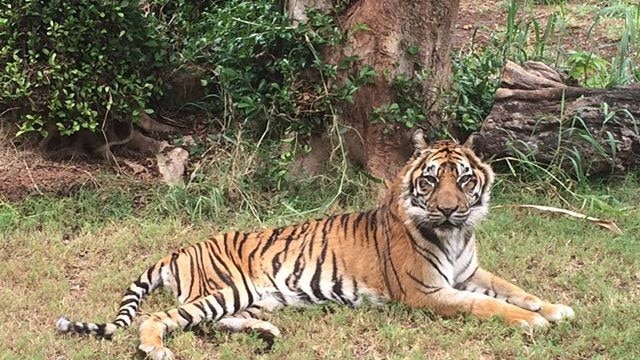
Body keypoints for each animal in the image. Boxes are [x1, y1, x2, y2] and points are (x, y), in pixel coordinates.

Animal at [56, 130, 576, 360]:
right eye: (430, 181)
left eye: (465, 180)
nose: (450, 210)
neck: (454, 236)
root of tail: (179, 250)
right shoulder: (427, 291)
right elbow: (487, 305)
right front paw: (533, 322)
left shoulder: (469, 272)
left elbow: (514, 288)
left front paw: (555, 308)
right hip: (227, 288)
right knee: (162, 317)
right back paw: (156, 349)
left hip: (240, 296)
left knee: (212, 322)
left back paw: (267, 332)